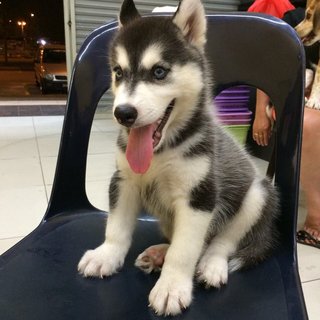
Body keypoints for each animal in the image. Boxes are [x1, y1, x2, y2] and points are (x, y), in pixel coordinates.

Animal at [78, 0, 280, 316]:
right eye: (119, 72)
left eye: (159, 72)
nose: (123, 113)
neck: (162, 151)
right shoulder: (124, 181)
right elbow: (117, 227)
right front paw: (106, 255)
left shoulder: (199, 196)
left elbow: (185, 251)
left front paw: (172, 287)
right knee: (189, 240)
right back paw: (159, 254)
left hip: (257, 195)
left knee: (221, 242)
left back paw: (211, 265)